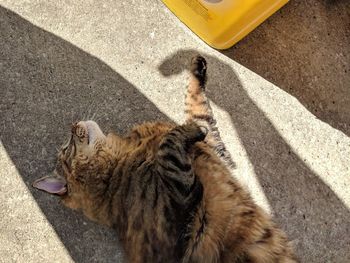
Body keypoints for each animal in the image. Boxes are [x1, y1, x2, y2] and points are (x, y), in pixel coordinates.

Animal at [32, 54, 296, 262]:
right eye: (67, 147)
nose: (72, 123)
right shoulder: (182, 200)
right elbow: (175, 136)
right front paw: (192, 129)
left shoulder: (216, 152)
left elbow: (196, 104)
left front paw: (197, 67)